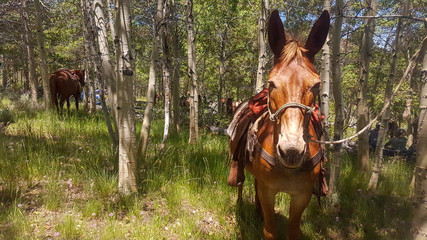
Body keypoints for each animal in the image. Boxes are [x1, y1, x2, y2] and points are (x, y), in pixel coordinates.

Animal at [229, 9, 330, 240]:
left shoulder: (302, 196)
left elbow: (293, 231)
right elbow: (270, 232)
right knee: (242, 184)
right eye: (271, 83)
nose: (291, 151)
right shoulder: (268, 191)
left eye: (316, 84)